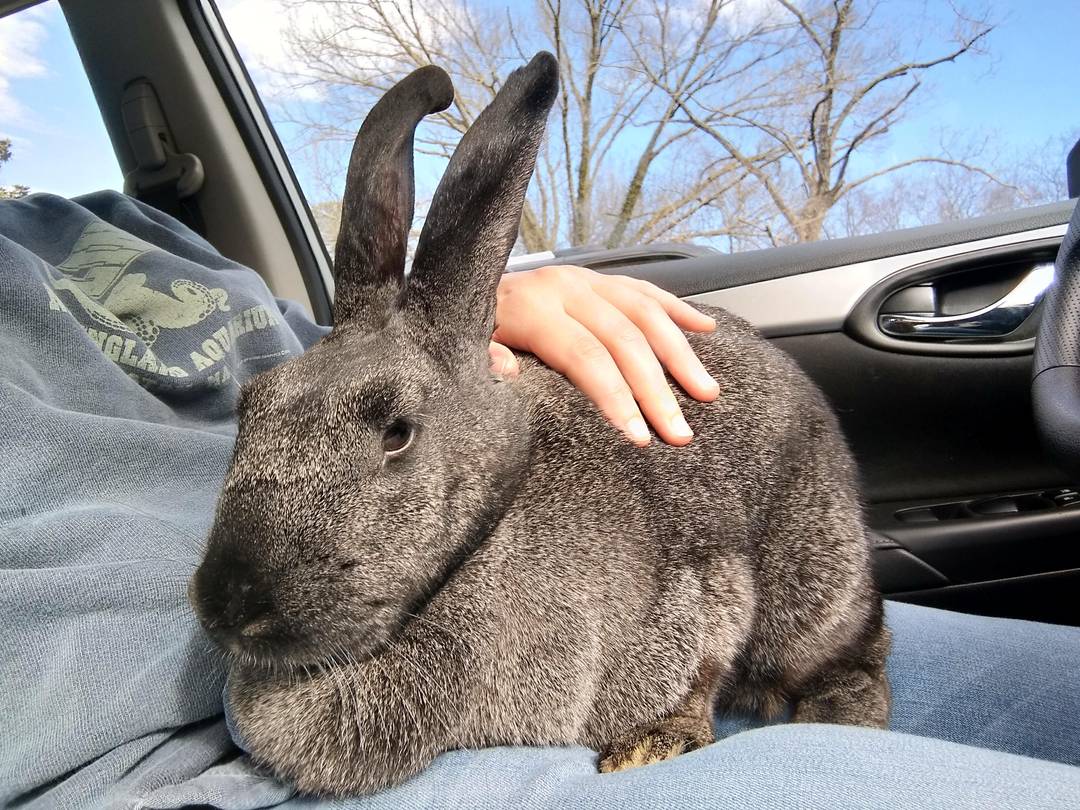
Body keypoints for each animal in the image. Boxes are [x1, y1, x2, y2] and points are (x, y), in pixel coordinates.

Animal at [189, 51, 890, 797]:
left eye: (397, 432)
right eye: (249, 407)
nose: (230, 603)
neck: (489, 531)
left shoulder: (700, 591)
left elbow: (696, 670)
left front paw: (650, 746)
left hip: (813, 580)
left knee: (860, 651)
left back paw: (837, 718)